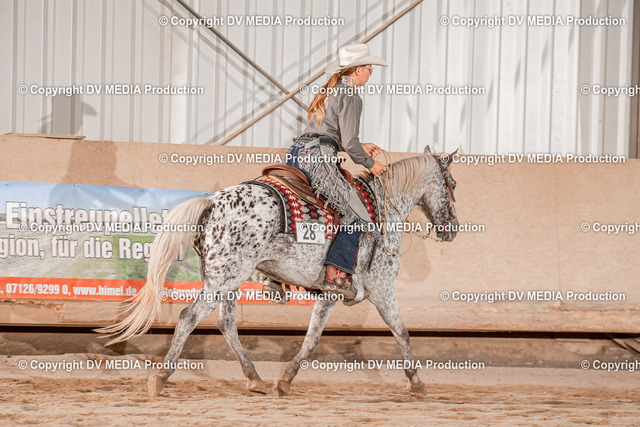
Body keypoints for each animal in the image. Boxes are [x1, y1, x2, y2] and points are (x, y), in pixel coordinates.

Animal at [97, 145, 459, 397]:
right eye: (452, 183)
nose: (452, 228)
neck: (383, 210)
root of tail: (212, 202)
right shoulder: (382, 288)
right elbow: (402, 332)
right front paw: (416, 382)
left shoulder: (329, 293)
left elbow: (312, 339)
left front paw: (285, 380)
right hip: (223, 280)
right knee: (189, 317)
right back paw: (161, 378)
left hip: (228, 279)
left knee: (226, 324)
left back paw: (255, 379)